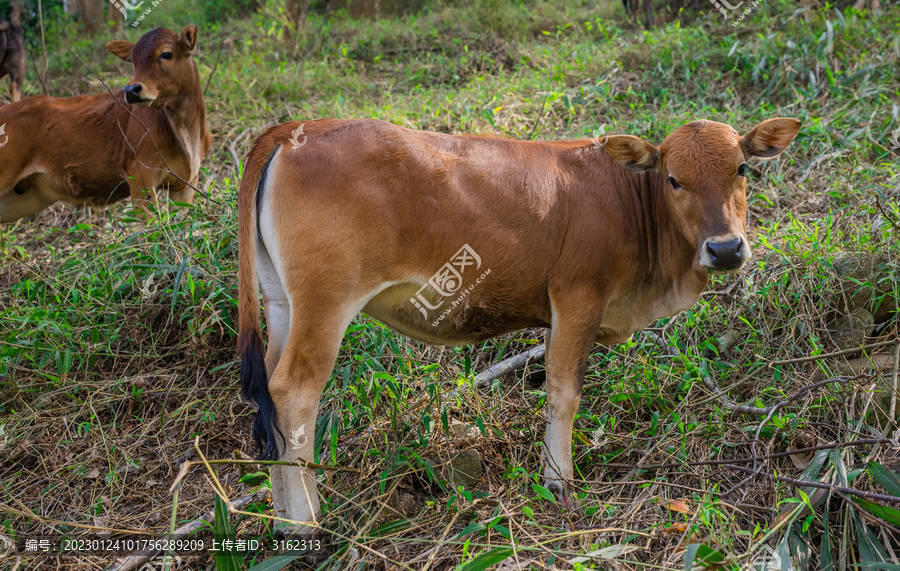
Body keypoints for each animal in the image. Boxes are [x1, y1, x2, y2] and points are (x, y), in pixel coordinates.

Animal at [0, 26, 210, 223]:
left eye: (166, 54)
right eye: (133, 60)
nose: (131, 90)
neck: (187, 132)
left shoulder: (186, 184)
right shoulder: (140, 175)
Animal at [237, 115, 800, 532]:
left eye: (743, 168)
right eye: (674, 178)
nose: (725, 249)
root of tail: (293, 129)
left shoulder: (555, 314)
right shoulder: (578, 297)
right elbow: (565, 393)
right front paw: (559, 481)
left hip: (282, 303)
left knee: (270, 392)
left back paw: (283, 517)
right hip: (324, 304)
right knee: (294, 392)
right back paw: (307, 521)